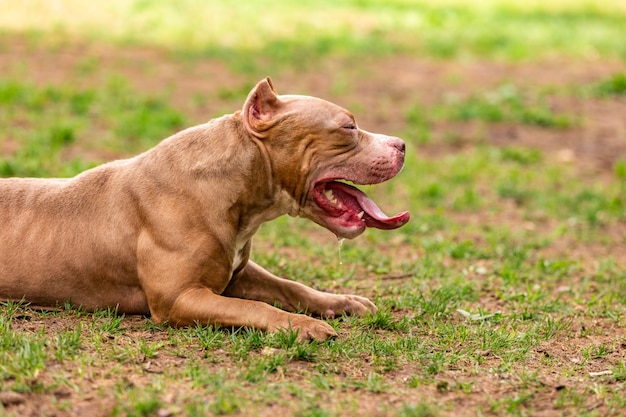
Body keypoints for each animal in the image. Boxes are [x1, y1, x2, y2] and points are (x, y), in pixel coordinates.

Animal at [0, 78, 410, 342]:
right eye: (348, 127)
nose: (402, 144)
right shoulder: (179, 298)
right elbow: (254, 308)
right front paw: (300, 326)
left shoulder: (239, 272)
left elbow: (292, 286)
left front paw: (341, 302)